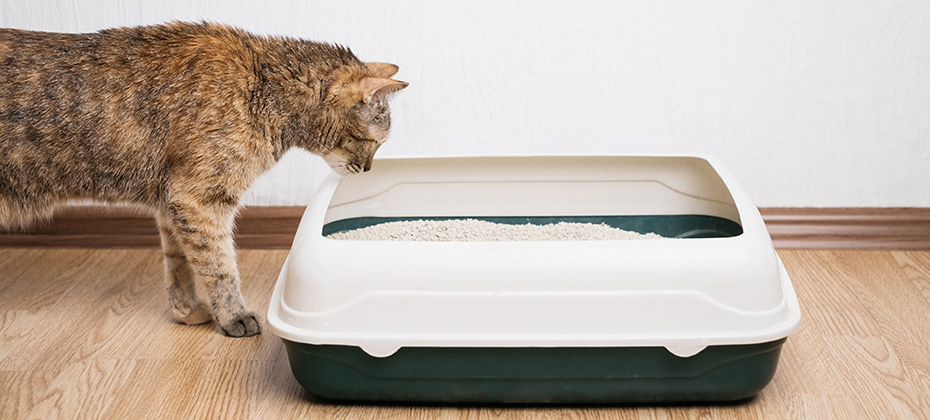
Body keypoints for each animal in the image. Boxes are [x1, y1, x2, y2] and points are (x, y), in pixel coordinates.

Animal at [0, 22, 406, 338]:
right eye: (373, 142)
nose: (368, 170)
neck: (263, 87)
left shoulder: (172, 203)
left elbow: (180, 263)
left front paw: (188, 310)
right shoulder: (199, 198)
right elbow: (220, 265)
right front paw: (233, 315)